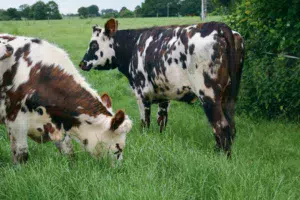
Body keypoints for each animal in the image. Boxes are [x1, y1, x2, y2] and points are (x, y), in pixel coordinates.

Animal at [0, 33, 132, 163]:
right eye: (118, 148)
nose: (119, 167)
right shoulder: (15, 121)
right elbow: (21, 154)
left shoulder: (57, 124)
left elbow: (68, 151)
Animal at [78, 19, 244, 156]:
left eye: (93, 44)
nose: (82, 63)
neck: (133, 45)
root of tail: (219, 26)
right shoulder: (164, 96)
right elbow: (162, 121)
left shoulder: (141, 94)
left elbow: (145, 123)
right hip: (229, 97)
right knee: (231, 125)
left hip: (208, 95)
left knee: (221, 126)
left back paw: (221, 157)